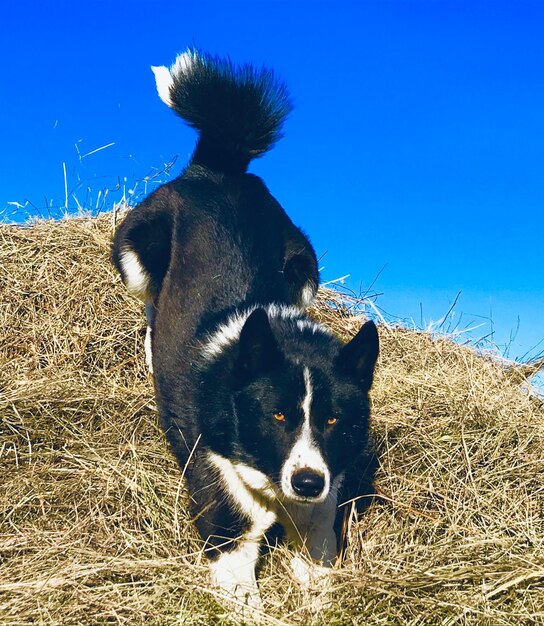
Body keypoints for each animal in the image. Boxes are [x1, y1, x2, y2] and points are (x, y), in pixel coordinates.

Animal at [111, 50, 378, 616]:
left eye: (333, 419)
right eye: (276, 414)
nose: (307, 481)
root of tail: (217, 167)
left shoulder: (320, 517)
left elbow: (318, 570)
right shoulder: (224, 508)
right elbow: (243, 589)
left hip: (304, 268)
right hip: (136, 253)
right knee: (150, 305)